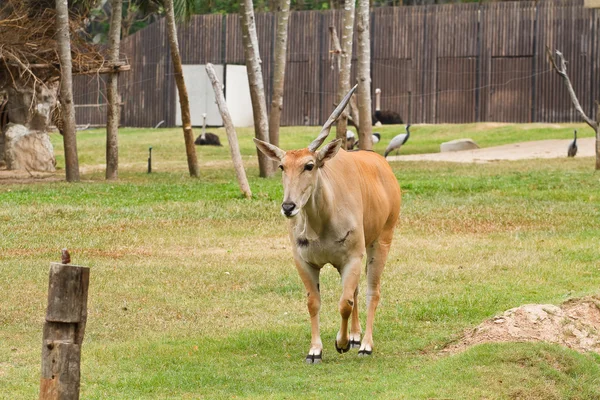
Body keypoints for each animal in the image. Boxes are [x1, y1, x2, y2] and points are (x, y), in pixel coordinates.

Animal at [254, 86, 404, 364]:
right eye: (282, 166)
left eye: (309, 165)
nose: (288, 206)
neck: (320, 225)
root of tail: (383, 165)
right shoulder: (304, 261)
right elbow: (314, 302)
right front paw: (315, 350)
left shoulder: (353, 257)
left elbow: (345, 302)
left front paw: (341, 343)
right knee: (356, 292)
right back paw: (355, 337)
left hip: (382, 240)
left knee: (372, 291)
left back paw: (364, 344)